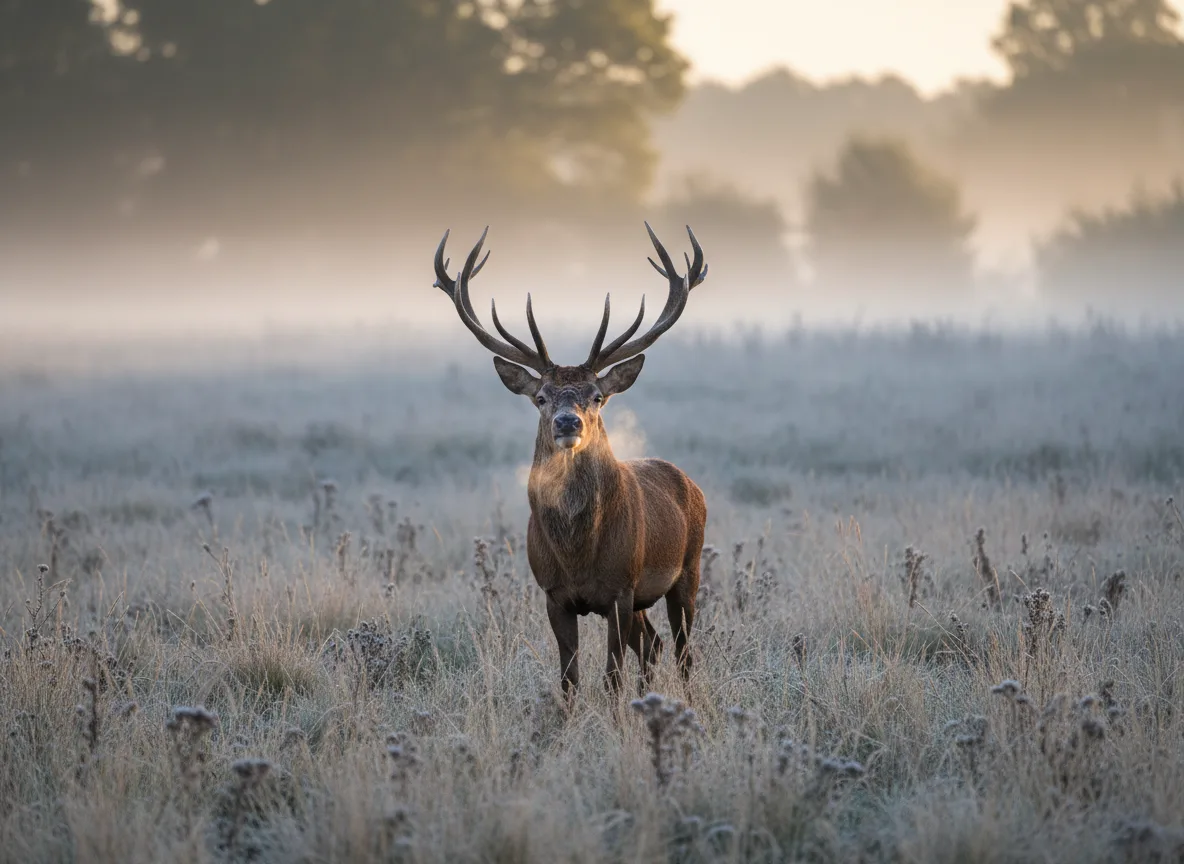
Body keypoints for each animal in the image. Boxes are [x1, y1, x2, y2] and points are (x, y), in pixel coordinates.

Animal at [432, 223, 709, 699]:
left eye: (596, 396)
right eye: (541, 397)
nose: (568, 422)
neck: (578, 555)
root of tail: (691, 484)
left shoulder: (620, 588)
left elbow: (611, 676)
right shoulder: (554, 594)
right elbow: (569, 680)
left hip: (687, 569)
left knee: (684, 652)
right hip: (644, 598)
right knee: (653, 646)